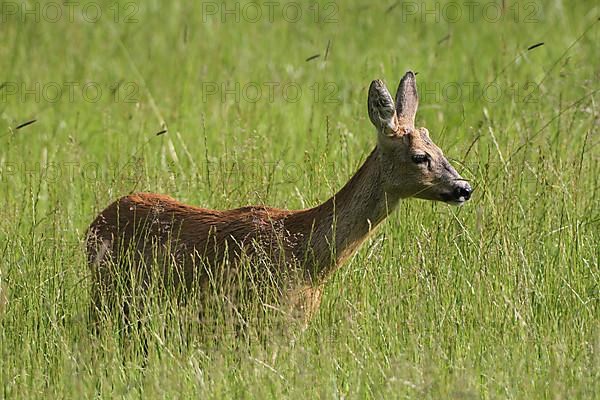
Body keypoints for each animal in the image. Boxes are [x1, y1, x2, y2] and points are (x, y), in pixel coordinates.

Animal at [85, 72, 468, 328]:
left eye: (440, 148)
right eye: (420, 156)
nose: (465, 187)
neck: (308, 257)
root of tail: (95, 223)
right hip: (107, 294)